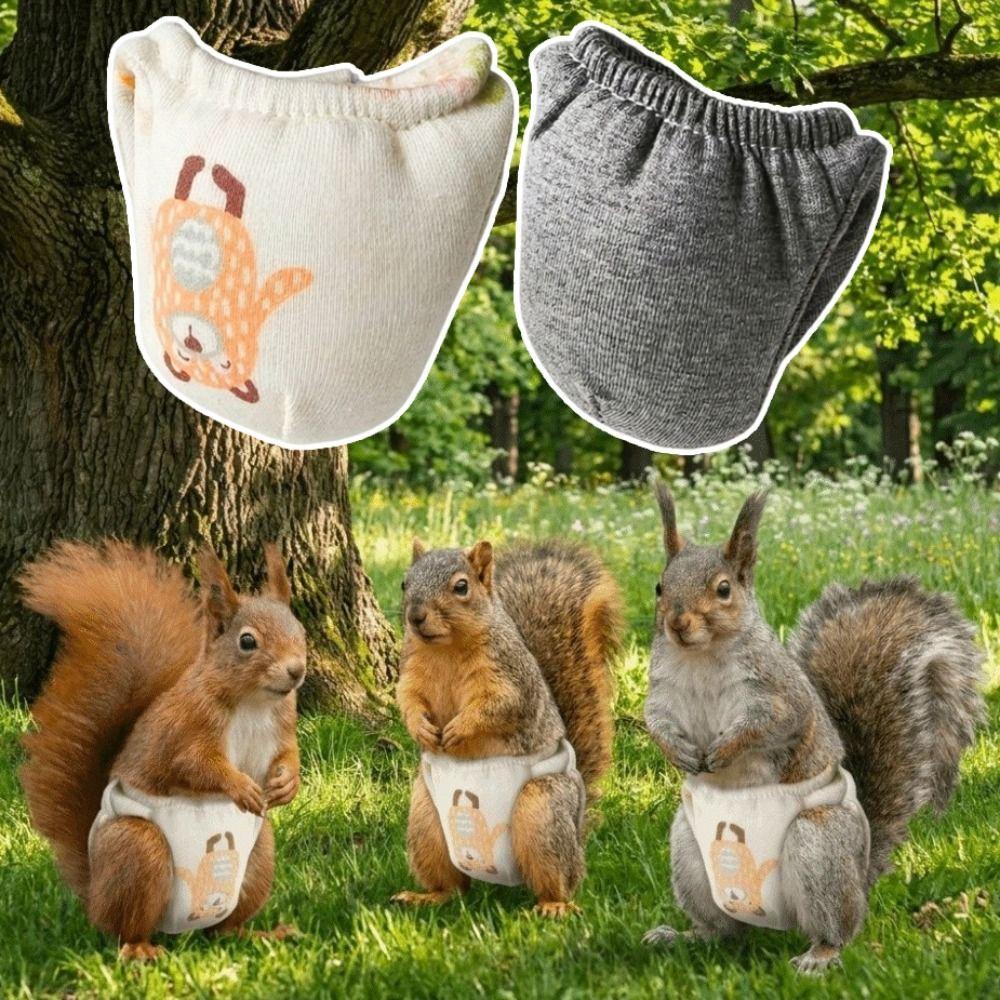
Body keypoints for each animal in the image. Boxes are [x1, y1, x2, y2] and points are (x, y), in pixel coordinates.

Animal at [18, 539, 307, 961]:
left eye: (301, 631)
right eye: (247, 641)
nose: (297, 670)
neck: (254, 703)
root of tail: (94, 893)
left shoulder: (282, 725)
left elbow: (288, 754)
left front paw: (287, 784)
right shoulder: (182, 729)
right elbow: (195, 766)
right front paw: (239, 786)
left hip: (258, 855)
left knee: (222, 930)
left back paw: (256, 934)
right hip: (138, 849)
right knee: (124, 927)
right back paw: (139, 949)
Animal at [392, 538, 621, 917]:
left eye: (461, 587)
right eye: (404, 583)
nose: (415, 617)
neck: (445, 649)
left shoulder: (510, 678)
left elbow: (497, 707)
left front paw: (460, 728)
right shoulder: (411, 672)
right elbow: (406, 699)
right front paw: (419, 728)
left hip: (541, 811)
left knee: (559, 879)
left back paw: (554, 905)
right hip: (427, 819)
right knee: (453, 885)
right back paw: (427, 896)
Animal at [642, 483, 984, 974]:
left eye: (724, 589)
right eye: (659, 586)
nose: (677, 624)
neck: (700, 656)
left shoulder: (781, 696)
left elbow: (768, 724)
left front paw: (726, 749)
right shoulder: (663, 692)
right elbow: (655, 720)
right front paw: (677, 751)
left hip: (818, 844)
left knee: (837, 927)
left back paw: (820, 956)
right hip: (690, 848)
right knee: (723, 930)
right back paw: (683, 936)